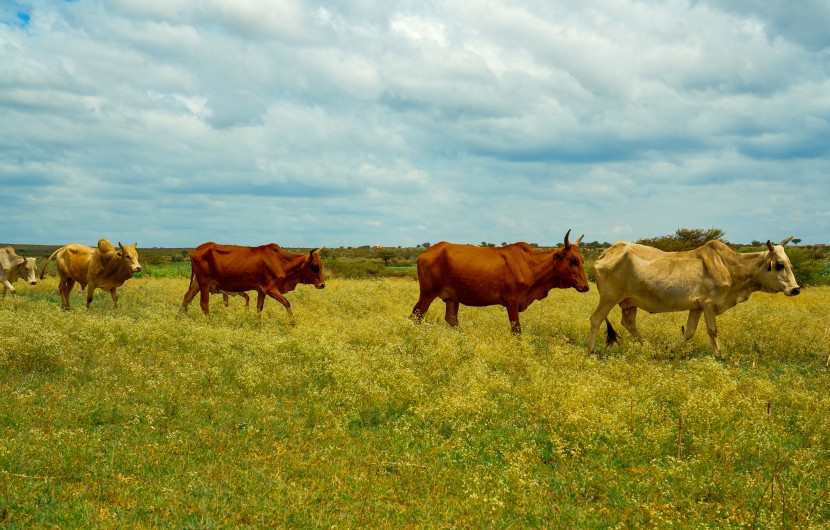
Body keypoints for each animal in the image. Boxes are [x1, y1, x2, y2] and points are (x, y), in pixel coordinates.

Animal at [180, 242, 325, 324]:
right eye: (314, 266)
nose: (322, 285)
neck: (281, 261)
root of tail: (194, 251)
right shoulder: (271, 289)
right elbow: (287, 303)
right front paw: (293, 323)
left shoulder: (262, 290)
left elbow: (259, 308)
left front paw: (257, 324)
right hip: (204, 283)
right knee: (204, 304)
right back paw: (209, 323)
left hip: (198, 283)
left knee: (187, 297)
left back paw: (179, 318)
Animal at [411, 230, 590, 334]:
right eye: (572, 260)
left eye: (582, 260)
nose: (586, 286)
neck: (531, 265)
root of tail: (426, 252)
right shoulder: (511, 302)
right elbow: (516, 330)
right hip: (427, 293)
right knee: (417, 316)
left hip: (452, 298)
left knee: (451, 319)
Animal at [587, 238, 801, 358]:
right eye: (779, 264)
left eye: (790, 264)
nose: (795, 289)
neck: (730, 267)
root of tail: (608, 251)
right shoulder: (708, 305)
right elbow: (712, 331)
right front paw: (719, 355)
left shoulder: (696, 307)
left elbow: (689, 332)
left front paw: (667, 350)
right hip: (609, 298)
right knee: (596, 319)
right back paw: (591, 352)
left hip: (630, 302)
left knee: (628, 323)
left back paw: (651, 348)